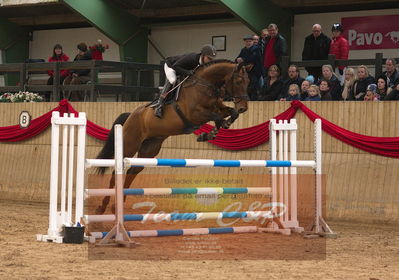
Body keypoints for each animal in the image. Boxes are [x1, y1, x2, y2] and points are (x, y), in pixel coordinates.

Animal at [95, 59, 250, 214]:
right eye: (238, 81)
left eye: (248, 82)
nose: (243, 108)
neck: (205, 85)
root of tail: (130, 115)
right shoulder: (195, 114)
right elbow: (217, 117)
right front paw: (210, 133)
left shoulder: (217, 108)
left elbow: (231, 113)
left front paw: (217, 129)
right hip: (129, 145)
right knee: (116, 172)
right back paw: (102, 207)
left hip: (150, 148)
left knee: (133, 171)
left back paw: (117, 204)